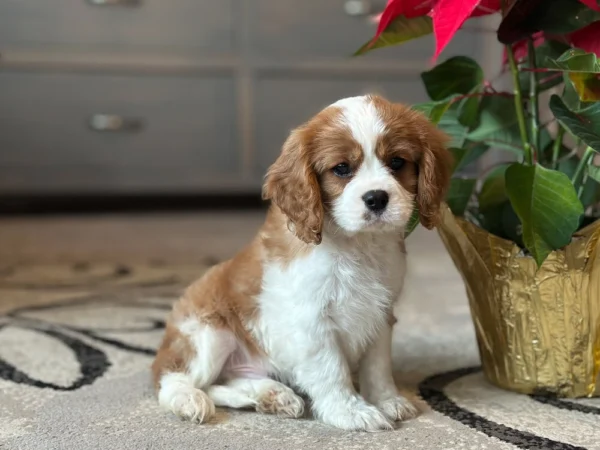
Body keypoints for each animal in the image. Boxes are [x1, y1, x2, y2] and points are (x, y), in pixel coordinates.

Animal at [152, 93, 452, 430]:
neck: (357, 243)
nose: (376, 198)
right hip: (207, 334)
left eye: (397, 162)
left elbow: (378, 364)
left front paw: (388, 400)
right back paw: (189, 399)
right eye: (342, 169)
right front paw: (351, 411)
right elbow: (332, 369)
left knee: (220, 383)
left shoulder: (380, 312)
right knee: (175, 378)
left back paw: (271, 396)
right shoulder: (312, 320)